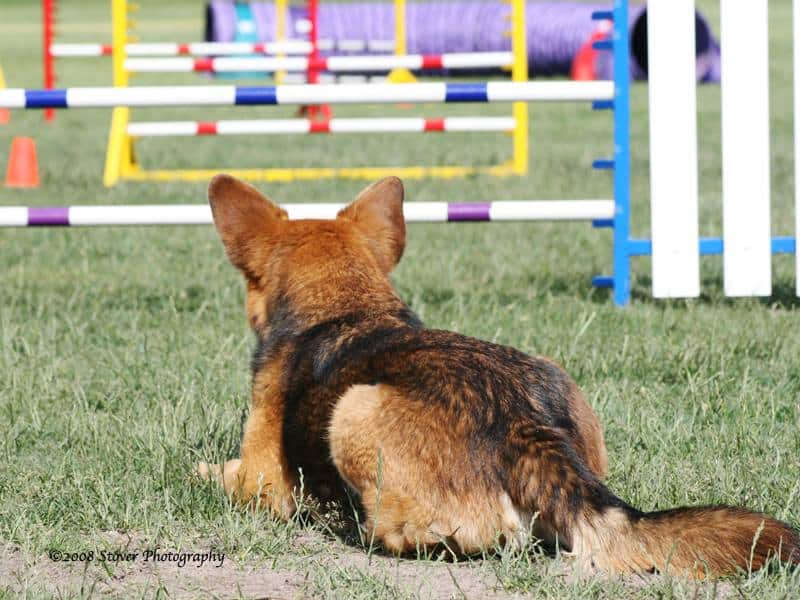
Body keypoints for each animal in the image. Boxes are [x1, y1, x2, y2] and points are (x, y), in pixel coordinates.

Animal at [197, 175, 796, 576]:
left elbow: (221, 474)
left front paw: (204, 470)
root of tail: (524, 426)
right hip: (559, 378)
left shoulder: (262, 481)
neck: (344, 306)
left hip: (354, 410)